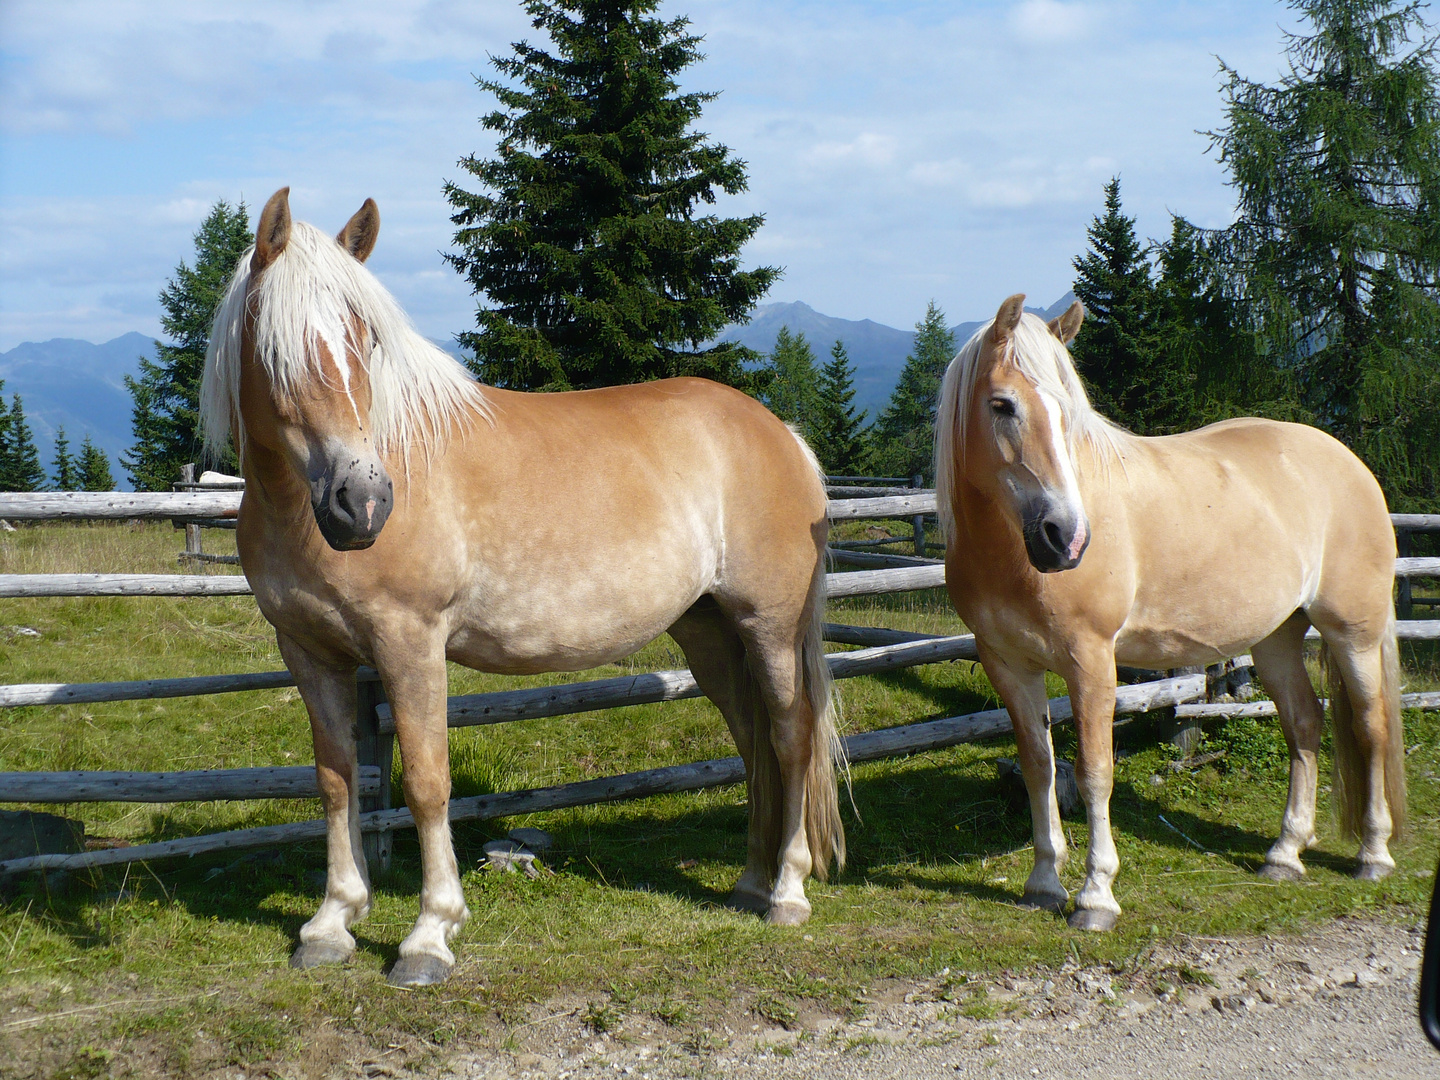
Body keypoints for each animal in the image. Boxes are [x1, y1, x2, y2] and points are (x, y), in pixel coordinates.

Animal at [933, 293, 1405, 933]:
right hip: (1276, 638)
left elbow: (1094, 772)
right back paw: (1285, 854)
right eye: (1002, 404)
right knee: (1304, 724)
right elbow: (1039, 768)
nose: (1066, 539)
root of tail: (1349, 463)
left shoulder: (1090, 662)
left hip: (1353, 631)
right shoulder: (1008, 664)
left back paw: (1373, 854)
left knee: (1370, 725)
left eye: (1069, 413)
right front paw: (1043, 883)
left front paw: (1096, 896)